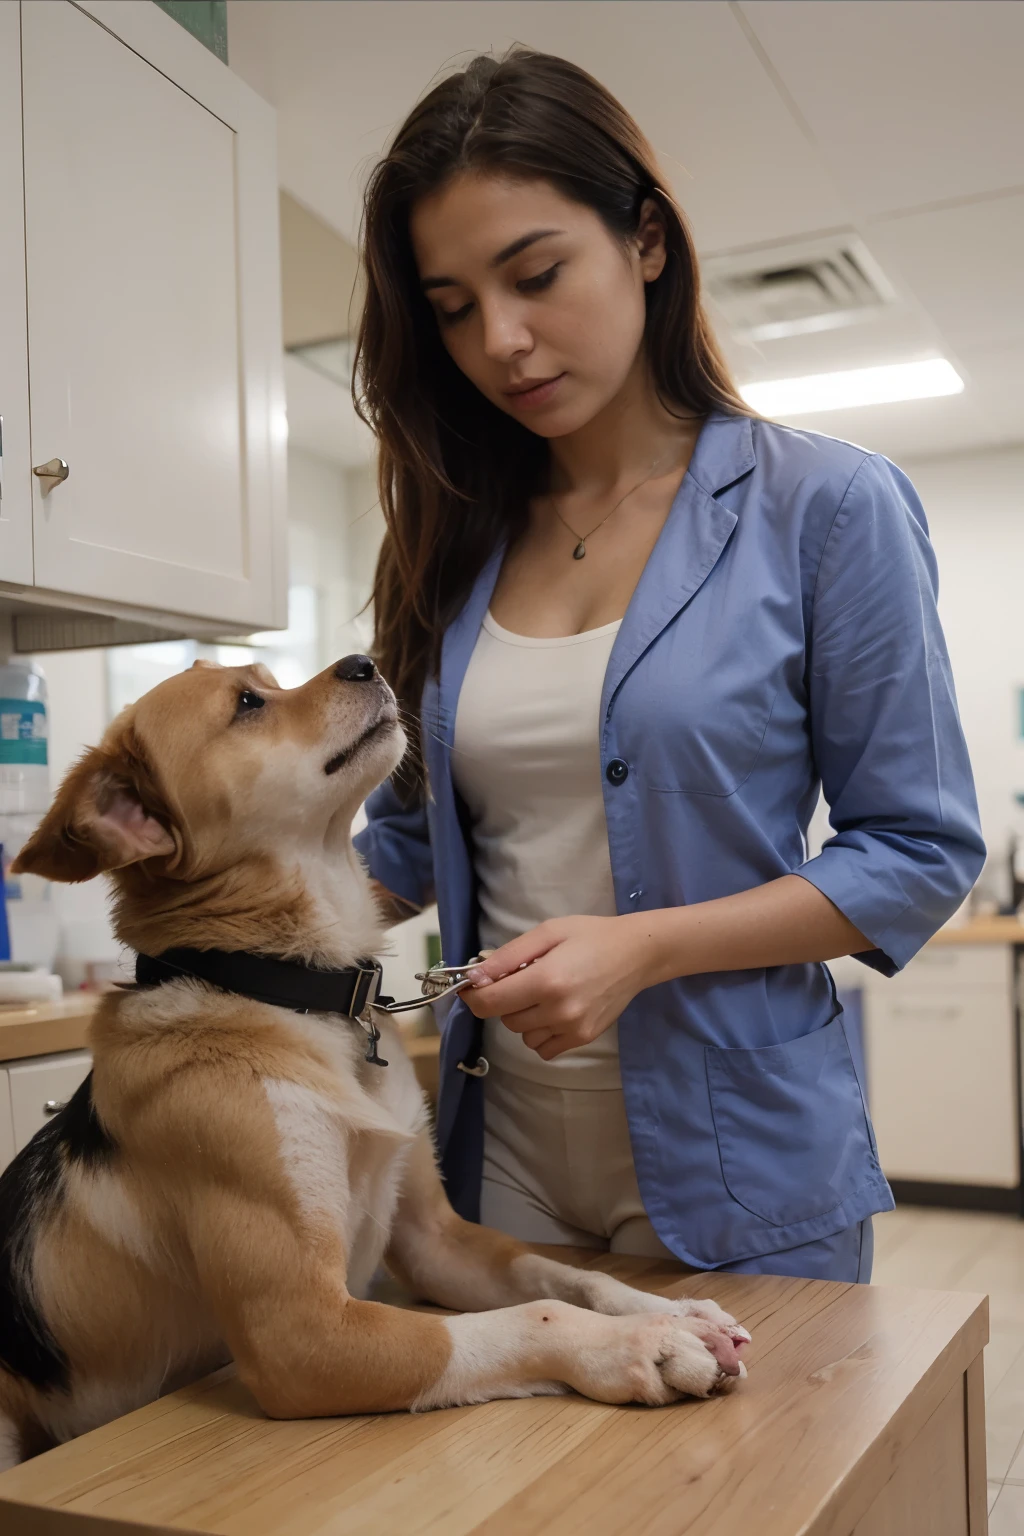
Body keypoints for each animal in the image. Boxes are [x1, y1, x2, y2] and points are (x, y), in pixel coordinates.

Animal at [0, 654, 749, 1468]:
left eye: (266, 677)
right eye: (247, 705)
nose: (368, 663)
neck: (298, 996)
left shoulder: (433, 1242)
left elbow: (561, 1273)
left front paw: (669, 1309)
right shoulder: (301, 1333)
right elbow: (537, 1315)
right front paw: (639, 1345)